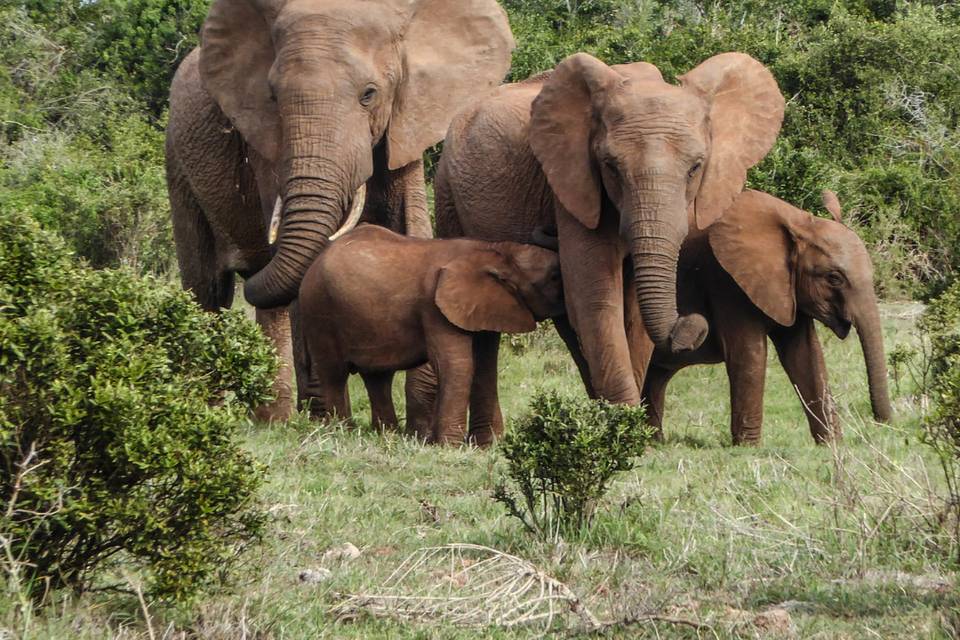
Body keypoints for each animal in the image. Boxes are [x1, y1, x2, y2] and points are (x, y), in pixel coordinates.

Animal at [165, 0, 512, 420]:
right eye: (272, 97)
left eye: (369, 95)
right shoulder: (266, 143)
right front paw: (325, 416)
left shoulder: (405, 121)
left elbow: (411, 224)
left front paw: (420, 416)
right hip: (177, 162)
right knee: (207, 290)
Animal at [298, 226, 564, 444]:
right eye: (554, 277)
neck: (496, 251)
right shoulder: (433, 307)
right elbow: (457, 364)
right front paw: (449, 446)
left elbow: (483, 365)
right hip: (318, 310)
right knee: (334, 374)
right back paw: (342, 432)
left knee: (377, 377)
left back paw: (387, 435)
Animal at [640, 188, 896, 442]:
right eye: (834, 278)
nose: (880, 423)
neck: (799, 222)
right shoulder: (726, 281)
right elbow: (750, 354)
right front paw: (748, 447)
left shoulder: (789, 290)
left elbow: (806, 354)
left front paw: (832, 444)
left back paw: (654, 441)